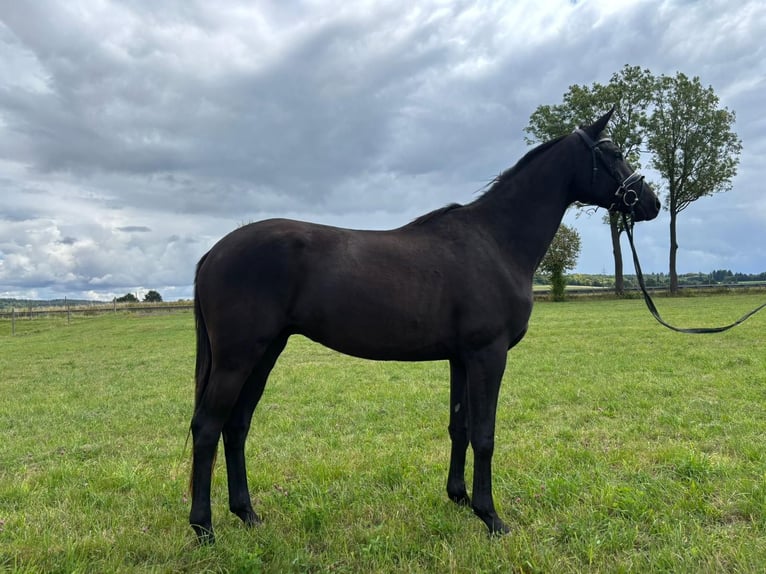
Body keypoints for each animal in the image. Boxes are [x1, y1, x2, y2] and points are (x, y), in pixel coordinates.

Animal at [188, 108, 661, 542]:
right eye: (614, 153)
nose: (651, 203)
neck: (496, 241)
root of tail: (214, 252)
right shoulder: (488, 355)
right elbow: (485, 435)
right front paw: (492, 518)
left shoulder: (461, 358)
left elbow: (460, 427)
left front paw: (460, 498)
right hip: (237, 359)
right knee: (208, 427)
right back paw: (204, 527)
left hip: (264, 354)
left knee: (236, 426)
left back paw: (247, 514)